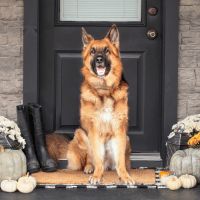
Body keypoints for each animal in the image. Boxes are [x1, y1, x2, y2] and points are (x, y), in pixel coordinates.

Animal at [46, 24, 134, 184]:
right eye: (92, 51)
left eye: (106, 50)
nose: (99, 59)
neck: (104, 90)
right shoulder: (94, 130)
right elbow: (97, 157)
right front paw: (97, 176)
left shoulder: (119, 130)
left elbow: (120, 160)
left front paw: (124, 176)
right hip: (80, 133)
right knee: (90, 158)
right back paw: (89, 168)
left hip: (126, 138)